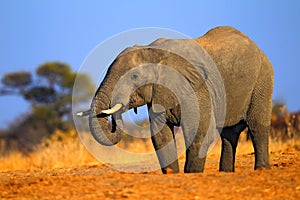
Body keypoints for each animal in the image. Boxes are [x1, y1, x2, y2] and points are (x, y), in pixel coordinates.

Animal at [76, 26, 274, 173]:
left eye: (134, 76)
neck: (152, 51)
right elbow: (161, 136)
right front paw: (173, 174)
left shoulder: (197, 88)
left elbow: (199, 132)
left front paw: (192, 174)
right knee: (229, 133)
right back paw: (226, 172)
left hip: (262, 79)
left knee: (257, 126)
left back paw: (261, 170)